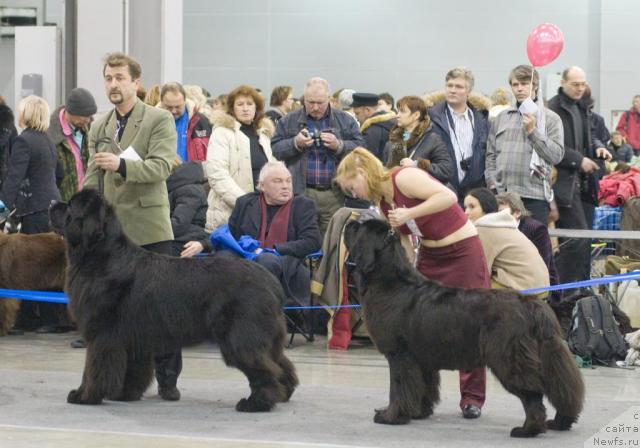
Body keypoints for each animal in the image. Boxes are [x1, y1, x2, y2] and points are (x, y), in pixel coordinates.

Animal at [50, 187, 298, 412]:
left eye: (70, 206)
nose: (52, 202)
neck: (100, 255)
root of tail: (272, 283)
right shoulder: (132, 336)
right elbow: (133, 369)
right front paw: (124, 394)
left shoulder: (102, 333)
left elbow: (93, 369)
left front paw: (84, 396)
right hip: (266, 336)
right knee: (280, 363)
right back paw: (283, 394)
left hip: (239, 337)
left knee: (265, 367)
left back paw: (257, 403)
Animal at [344, 220, 584, 438]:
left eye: (359, 228)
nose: (349, 223)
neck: (390, 281)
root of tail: (531, 305)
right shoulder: (422, 359)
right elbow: (424, 387)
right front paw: (418, 413)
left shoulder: (400, 355)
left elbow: (399, 388)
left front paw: (391, 416)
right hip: (548, 354)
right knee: (562, 388)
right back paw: (560, 422)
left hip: (510, 358)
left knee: (534, 394)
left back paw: (528, 430)